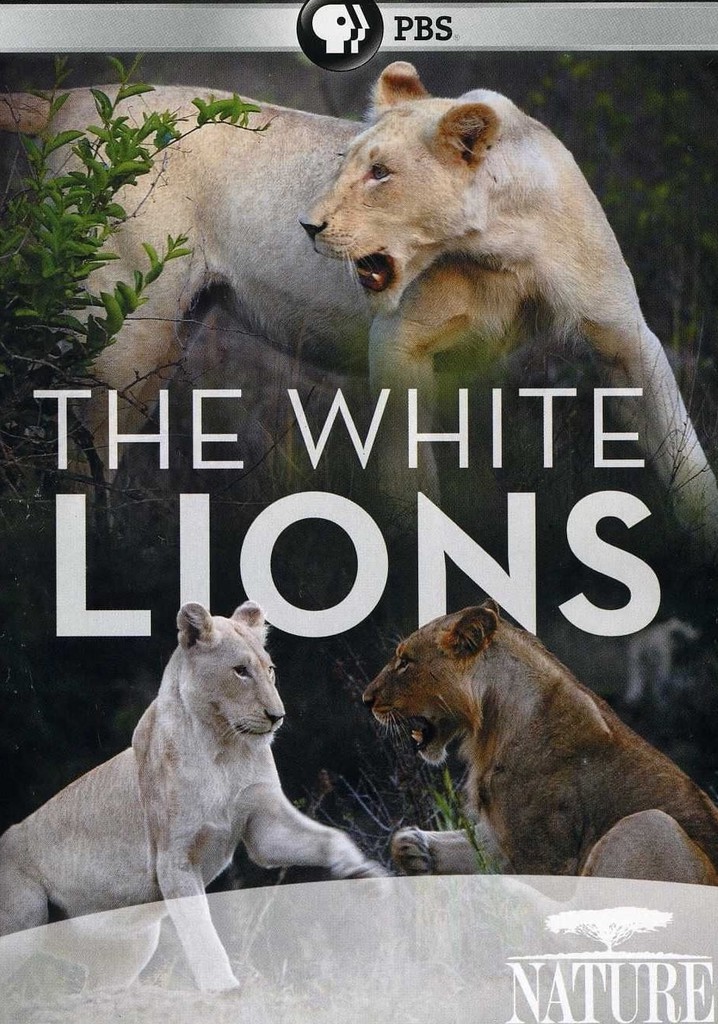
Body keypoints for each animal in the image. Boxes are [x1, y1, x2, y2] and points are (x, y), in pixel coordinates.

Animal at [0, 601, 382, 991]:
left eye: (270, 670)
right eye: (241, 671)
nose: (277, 716)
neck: (225, 749)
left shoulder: (264, 827)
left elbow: (329, 837)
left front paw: (363, 874)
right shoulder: (175, 859)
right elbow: (201, 932)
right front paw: (224, 988)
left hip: (127, 949)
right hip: (24, 921)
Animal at [1, 65, 716, 546]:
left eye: (381, 172)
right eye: (344, 162)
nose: (307, 225)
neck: (500, 246)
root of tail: (67, 98)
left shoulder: (624, 335)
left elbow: (681, 446)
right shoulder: (399, 342)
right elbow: (409, 474)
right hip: (127, 325)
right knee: (77, 447)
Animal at [362, 601, 718, 885]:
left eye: (405, 662)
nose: (366, 699)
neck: (492, 726)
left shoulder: (547, 856)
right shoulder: (501, 838)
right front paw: (411, 848)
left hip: (649, 824)